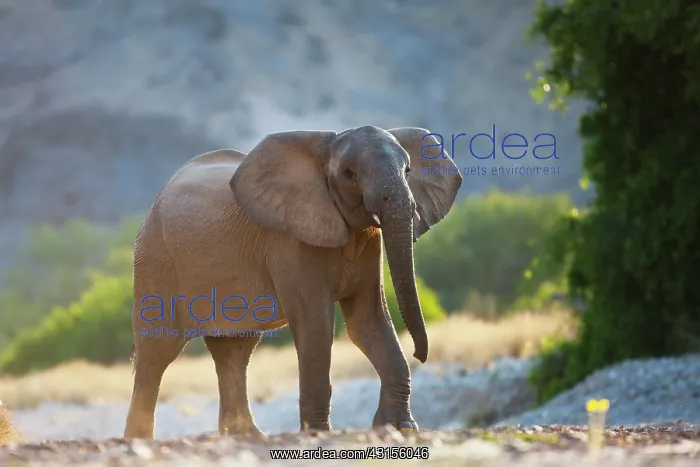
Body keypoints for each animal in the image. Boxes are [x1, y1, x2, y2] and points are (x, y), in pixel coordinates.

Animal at [123, 125, 462, 439]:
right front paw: (319, 433)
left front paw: (400, 427)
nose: (421, 356)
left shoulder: (368, 243)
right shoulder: (290, 241)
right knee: (158, 352)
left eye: (408, 170)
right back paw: (138, 438)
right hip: (156, 259)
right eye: (349, 174)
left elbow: (367, 321)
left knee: (235, 349)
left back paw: (247, 435)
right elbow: (316, 322)